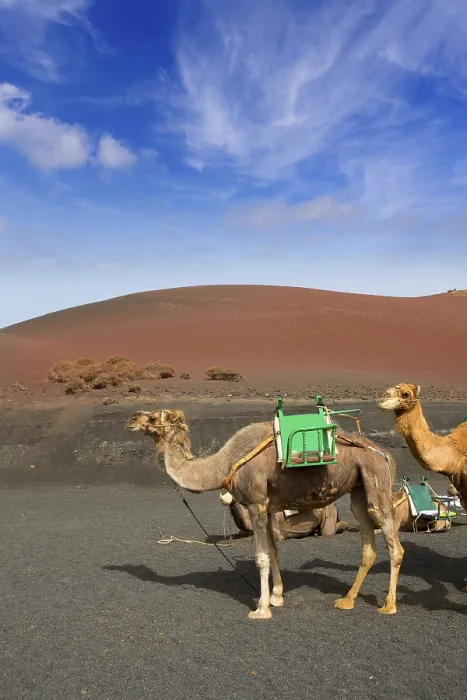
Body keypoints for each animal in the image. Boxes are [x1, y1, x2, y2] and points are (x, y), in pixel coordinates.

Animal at [125, 408, 404, 619]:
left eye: (153, 417)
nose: (132, 419)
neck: (225, 464)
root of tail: (388, 455)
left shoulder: (256, 503)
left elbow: (261, 557)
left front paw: (261, 609)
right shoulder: (270, 507)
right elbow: (273, 551)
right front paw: (277, 597)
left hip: (376, 478)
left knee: (394, 545)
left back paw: (389, 605)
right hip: (359, 487)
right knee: (368, 542)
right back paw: (346, 600)